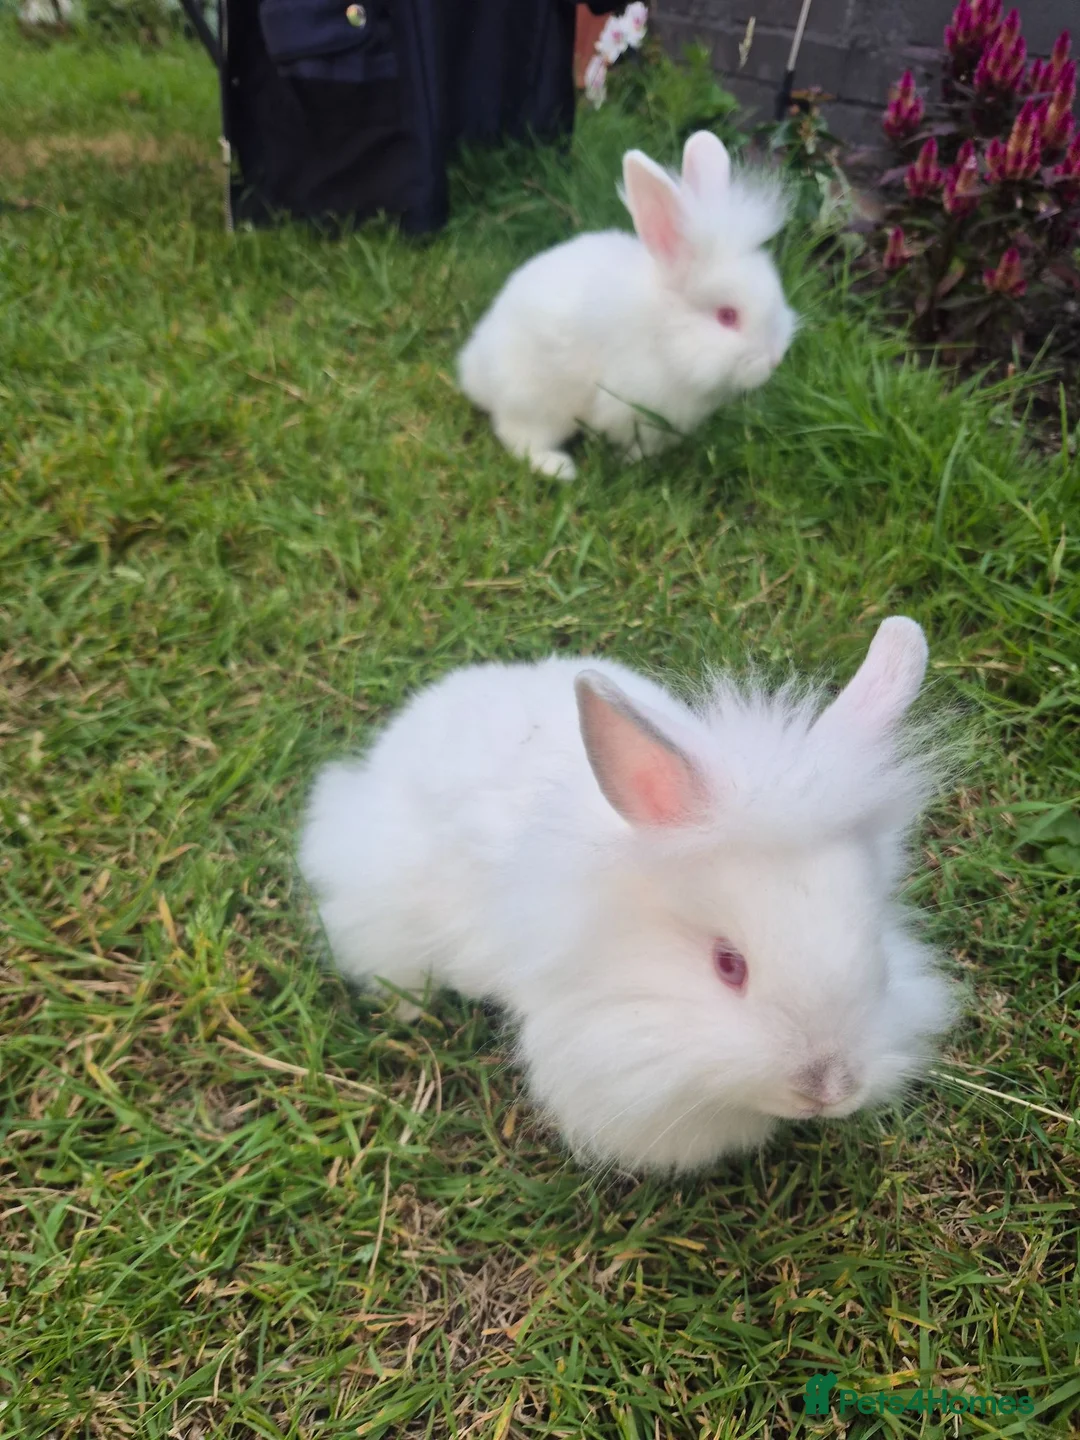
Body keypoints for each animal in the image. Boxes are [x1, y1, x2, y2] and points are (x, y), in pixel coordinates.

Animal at [455, 129, 798, 481]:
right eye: (727, 316)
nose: (775, 358)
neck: (665, 333)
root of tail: (473, 369)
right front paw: (635, 462)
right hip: (535, 401)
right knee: (517, 436)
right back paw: (559, 468)